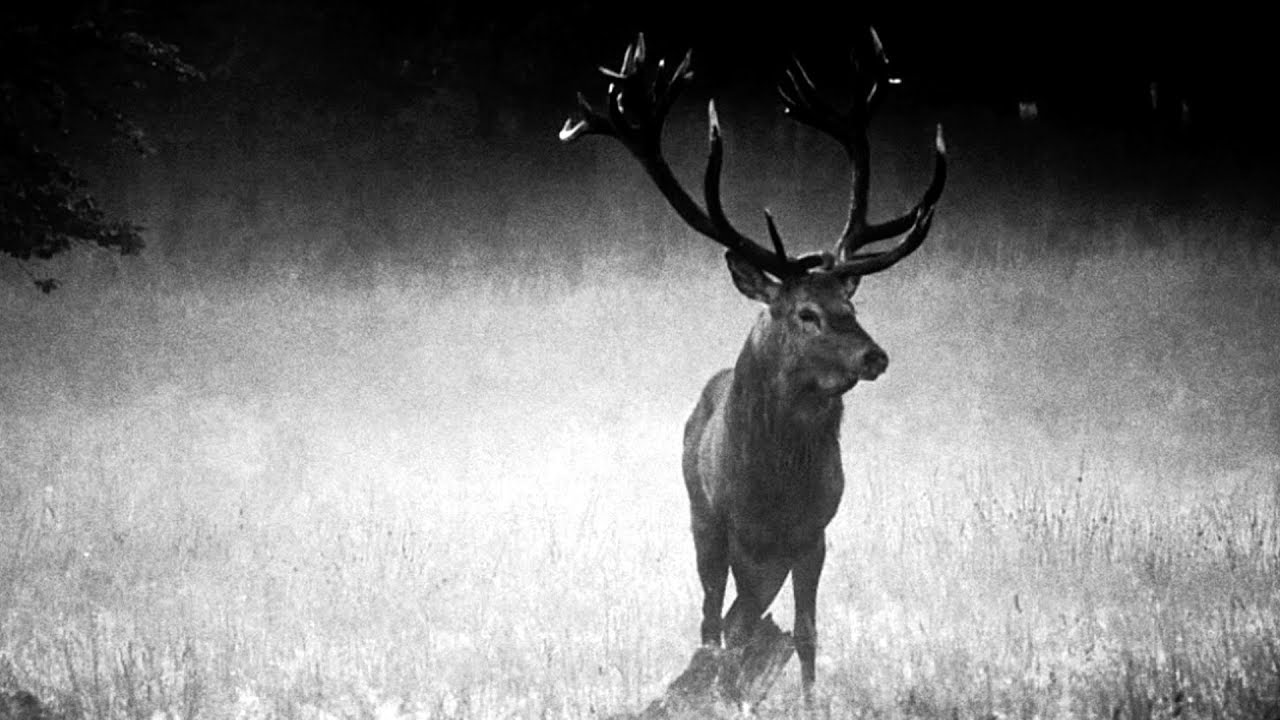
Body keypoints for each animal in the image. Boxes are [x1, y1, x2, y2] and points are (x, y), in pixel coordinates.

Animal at [560, 29, 946, 699]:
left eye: (850, 303)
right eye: (805, 313)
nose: (875, 355)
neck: (779, 483)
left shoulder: (815, 532)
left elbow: (807, 633)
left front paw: (811, 701)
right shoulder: (737, 530)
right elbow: (735, 629)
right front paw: (731, 690)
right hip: (699, 517)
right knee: (713, 616)